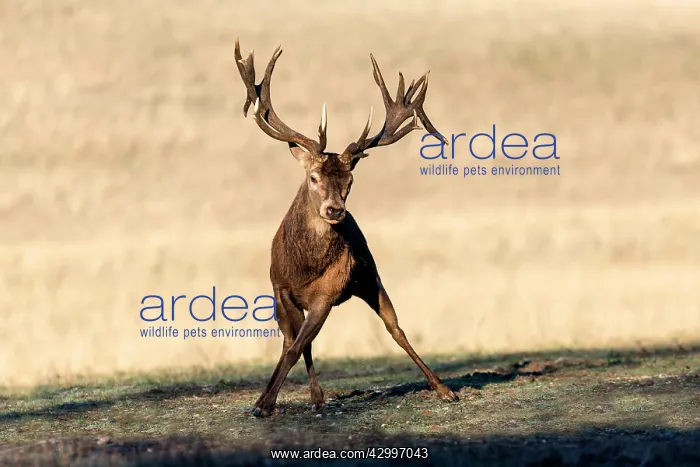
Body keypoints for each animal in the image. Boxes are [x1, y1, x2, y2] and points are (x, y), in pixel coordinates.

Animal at [234, 38, 458, 418]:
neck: (303, 268)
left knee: (396, 329)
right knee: (299, 341)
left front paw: (264, 404)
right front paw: (275, 400)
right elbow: (292, 345)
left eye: (350, 181)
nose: (335, 210)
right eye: (313, 177)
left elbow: (296, 348)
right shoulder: (279, 288)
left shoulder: (326, 294)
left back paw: (443, 388)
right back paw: (316, 397)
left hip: (370, 277)